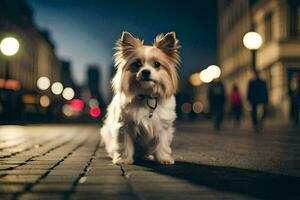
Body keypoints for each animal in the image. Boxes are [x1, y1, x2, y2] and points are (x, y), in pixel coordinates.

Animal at [101, 31, 180, 165]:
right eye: (137, 64)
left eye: (157, 64)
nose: (145, 72)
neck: (147, 96)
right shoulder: (124, 127)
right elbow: (124, 145)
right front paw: (123, 159)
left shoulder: (163, 128)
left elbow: (162, 144)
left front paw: (163, 158)